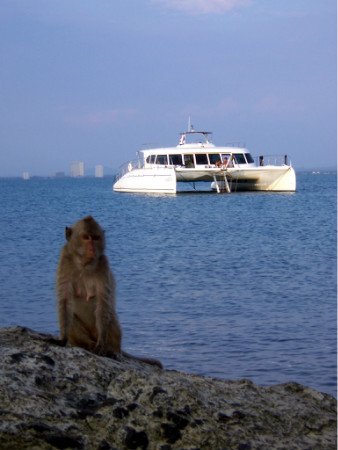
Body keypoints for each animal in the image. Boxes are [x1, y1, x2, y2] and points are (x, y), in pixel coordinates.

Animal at [56, 216, 162, 368]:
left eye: (96, 238)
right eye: (86, 237)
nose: (92, 248)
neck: (84, 265)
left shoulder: (103, 264)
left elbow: (103, 302)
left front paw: (101, 344)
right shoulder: (64, 260)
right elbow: (64, 300)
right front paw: (63, 338)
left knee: (109, 315)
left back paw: (112, 350)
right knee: (73, 319)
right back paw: (87, 345)